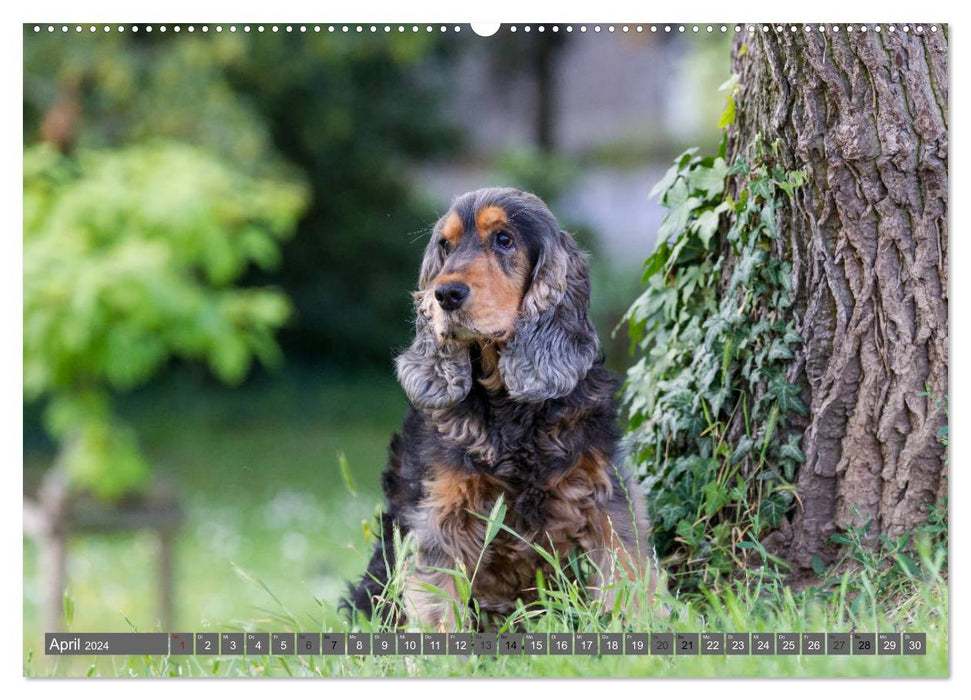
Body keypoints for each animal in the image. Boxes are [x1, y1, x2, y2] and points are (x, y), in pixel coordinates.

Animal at [344, 189, 660, 632]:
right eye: (446, 246)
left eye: (504, 240)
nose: (445, 295)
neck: (509, 406)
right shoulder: (440, 517)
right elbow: (438, 604)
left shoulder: (606, 495)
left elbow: (627, 573)